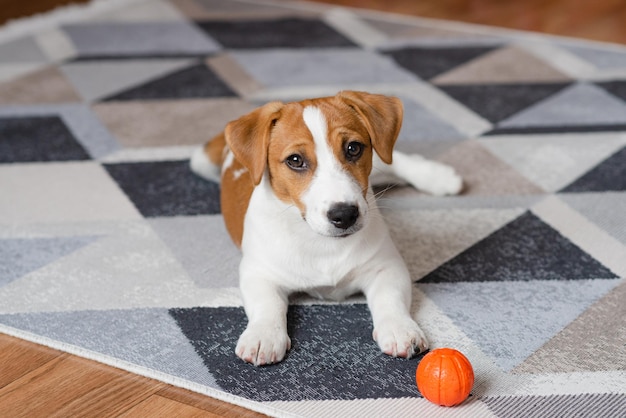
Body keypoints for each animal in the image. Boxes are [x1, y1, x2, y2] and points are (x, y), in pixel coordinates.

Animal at [193, 91, 460, 366]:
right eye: (295, 160)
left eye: (353, 148)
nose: (345, 214)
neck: (320, 241)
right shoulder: (258, 272)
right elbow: (267, 304)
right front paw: (263, 335)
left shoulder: (386, 266)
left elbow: (390, 298)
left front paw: (400, 328)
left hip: (381, 159)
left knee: (391, 159)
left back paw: (438, 177)